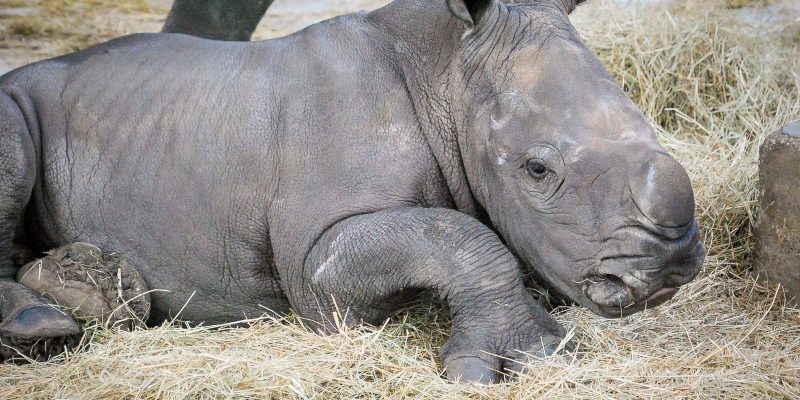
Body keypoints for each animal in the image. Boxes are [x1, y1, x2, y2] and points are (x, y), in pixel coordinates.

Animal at [0, 0, 705, 383]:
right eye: (537, 170)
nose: (670, 266)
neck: (445, 75)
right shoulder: (317, 258)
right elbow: (459, 237)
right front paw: (524, 359)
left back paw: (90, 291)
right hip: (13, 100)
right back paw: (43, 325)